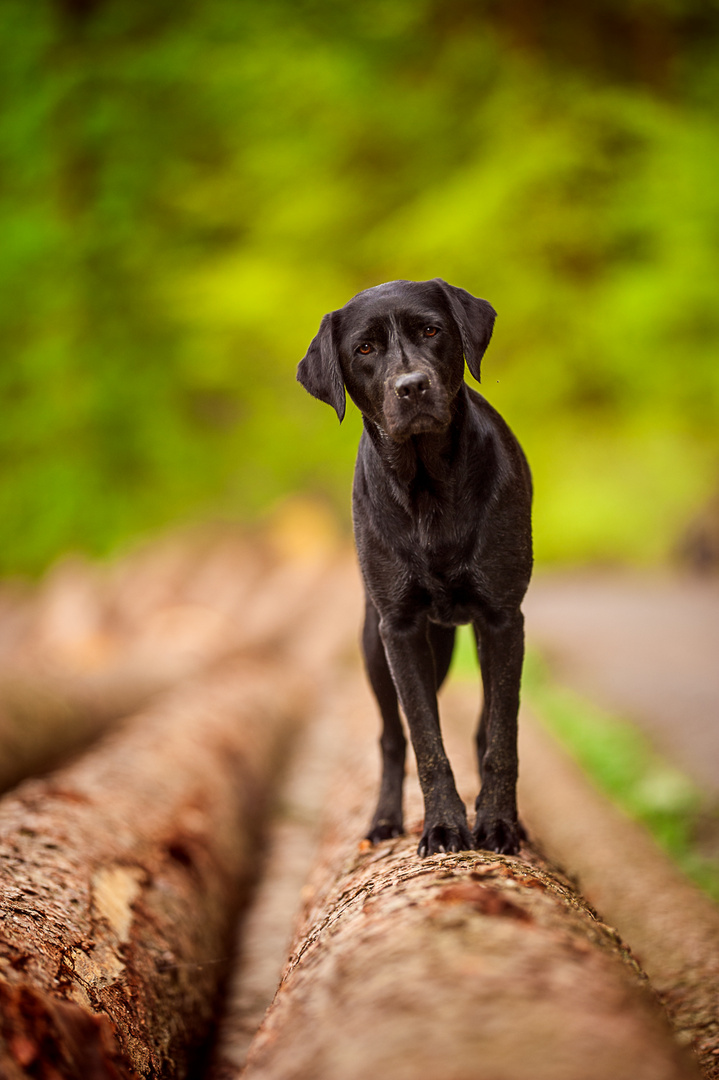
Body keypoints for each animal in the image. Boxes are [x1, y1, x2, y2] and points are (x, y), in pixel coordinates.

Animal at [295, 282, 531, 855]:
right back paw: (383, 821)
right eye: (364, 348)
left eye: (431, 330)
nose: (412, 386)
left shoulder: (503, 619)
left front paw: (497, 823)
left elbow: (500, 736)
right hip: (376, 645)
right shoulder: (399, 629)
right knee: (390, 736)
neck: (428, 488)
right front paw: (444, 826)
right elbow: (425, 739)